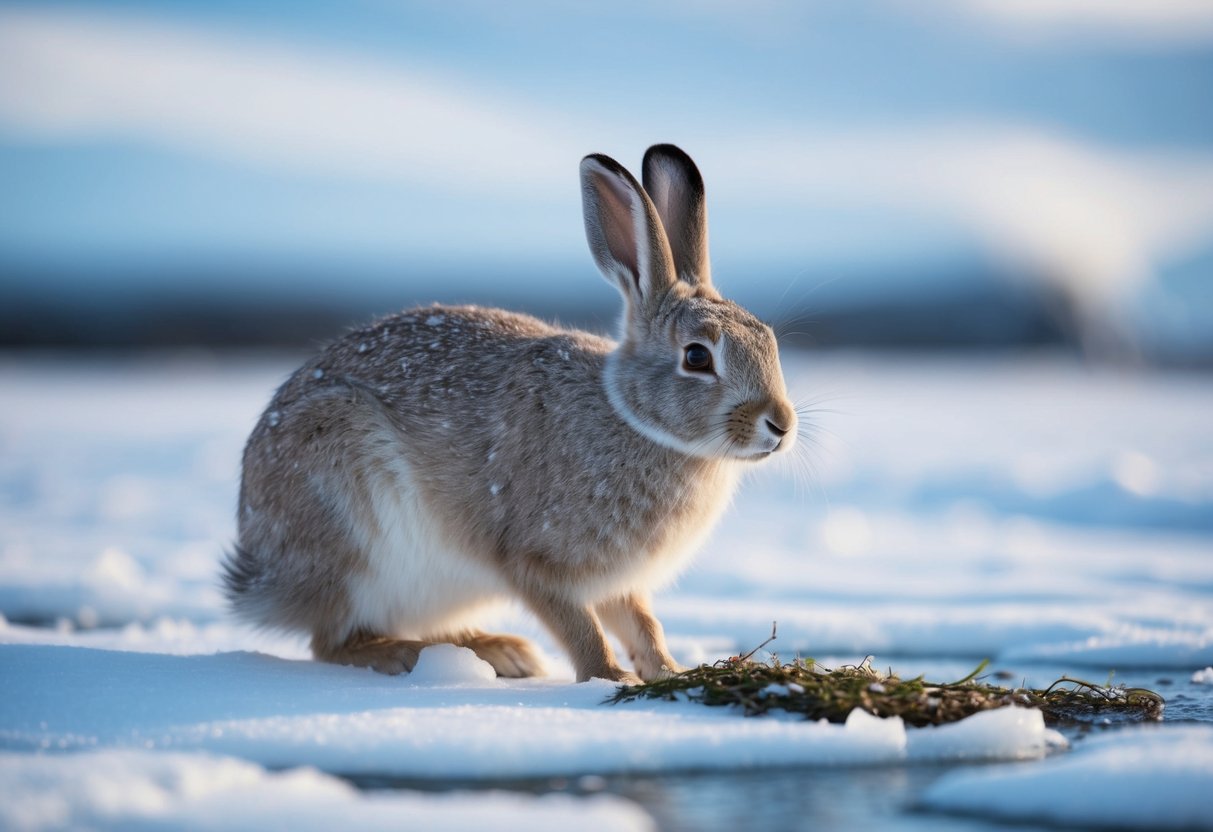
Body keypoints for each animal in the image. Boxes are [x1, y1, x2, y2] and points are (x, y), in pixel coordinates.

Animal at [223, 144, 796, 683]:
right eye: (697, 357)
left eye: (768, 339)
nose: (781, 426)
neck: (638, 423)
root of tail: (260, 572)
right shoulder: (534, 561)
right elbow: (578, 625)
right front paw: (610, 677)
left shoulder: (620, 583)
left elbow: (642, 624)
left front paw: (669, 671)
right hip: (350, 521)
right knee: (334, 640)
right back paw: (413, 654)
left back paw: (497, 651)